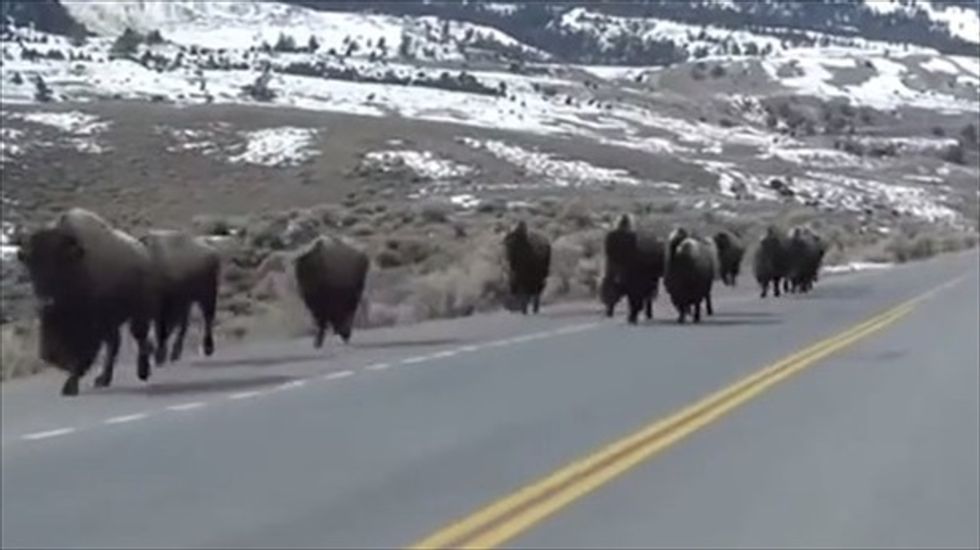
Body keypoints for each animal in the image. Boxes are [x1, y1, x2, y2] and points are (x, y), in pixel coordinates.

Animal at [17, 208, 157, 396]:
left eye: (59, 264)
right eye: (32, 266)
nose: (45, 301)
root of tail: (144, 253)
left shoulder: (91, 327)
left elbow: (82, 354)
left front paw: (70, 386)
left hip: (138, 314)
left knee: (139, 339)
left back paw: (142, 372)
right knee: (116, 344)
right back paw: (103, 379)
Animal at [142, 229, 221, 365]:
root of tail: (211, 251)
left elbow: (162, 329)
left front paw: (159, 354)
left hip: (207, 295)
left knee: (207, 319)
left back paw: (206, 348)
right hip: (189, 301)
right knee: (184, 325)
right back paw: (174, 352)